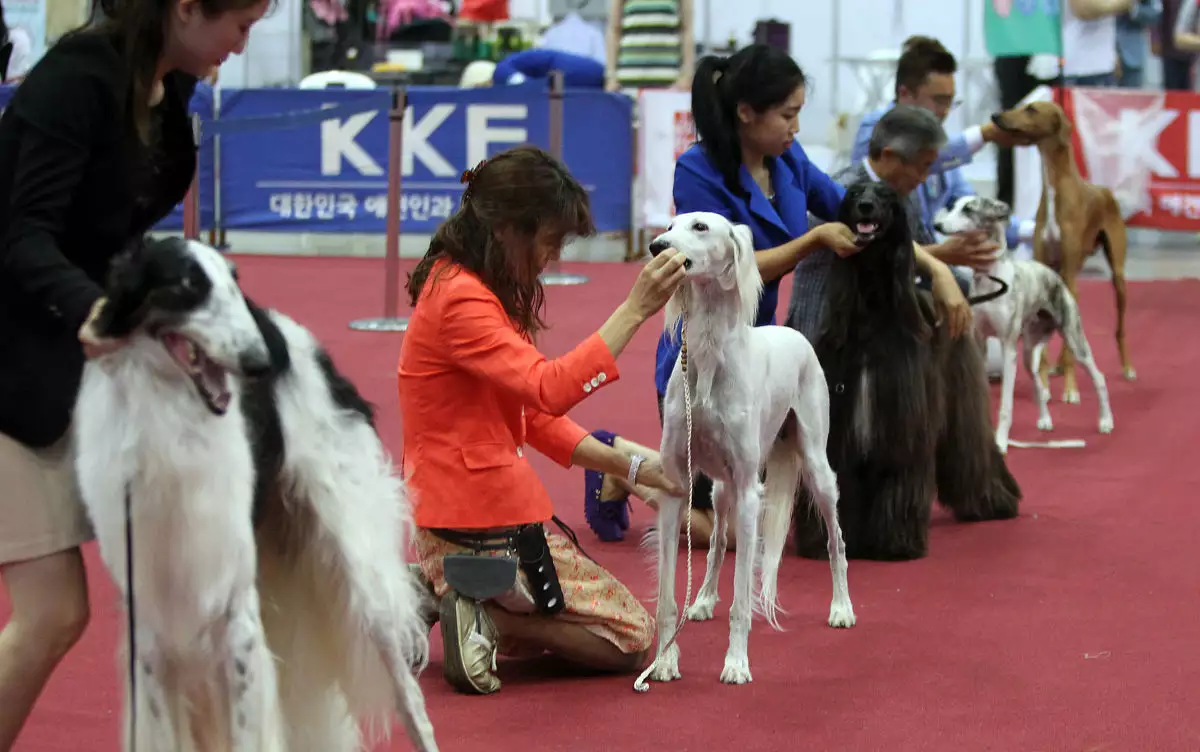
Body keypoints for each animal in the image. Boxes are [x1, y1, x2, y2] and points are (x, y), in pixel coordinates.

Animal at [71, 238, 436, 748]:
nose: (260, 362)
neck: (173, 430)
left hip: (359, 573)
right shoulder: (151, 636)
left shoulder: (236, 619)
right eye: (188, 284)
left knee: (411, 697)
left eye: (234, 282)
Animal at [648, 212, 854, 690]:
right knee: (717, 544)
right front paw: (665, 661)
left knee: (836, 541)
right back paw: (704, 599)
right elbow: (668, 593)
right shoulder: (675, 486)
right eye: (668, 225)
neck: (709, 355)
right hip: (719, 487)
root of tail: (793, 331)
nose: (656, 247)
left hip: (815, 465)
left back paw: (841, 607)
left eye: (700, 226)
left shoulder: (747, 493)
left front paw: (737, 663)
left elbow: (742, 598)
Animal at [936, 194, 1113, 453]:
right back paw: (1045, 419)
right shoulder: (980, 342)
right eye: (951, 206)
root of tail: (1054, 275)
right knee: (1039, 383)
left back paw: (1106, 421)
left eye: (968, 209)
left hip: (1074, 340)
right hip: (1029, 353)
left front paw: (1000, 442)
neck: (990, 278)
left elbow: (1006, 405)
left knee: (1098, 377)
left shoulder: (1008, 348)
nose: (937, 225)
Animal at [988, 103, 1128, 402]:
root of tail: (1105, 190)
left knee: (1119, 325)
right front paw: (1043, 383)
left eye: (1030, 109)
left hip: (1117, 276)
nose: (995, 115)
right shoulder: (1043, 266)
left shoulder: (1069, 275)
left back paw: (1127, 367)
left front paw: (1071, 389)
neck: (1056, 192)